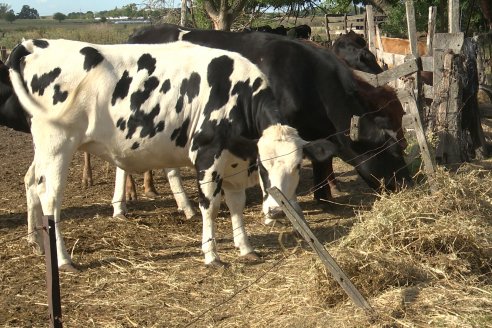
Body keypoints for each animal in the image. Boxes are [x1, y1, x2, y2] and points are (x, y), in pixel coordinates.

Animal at [4, 38, 334, 270]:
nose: (278, 211)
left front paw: (246, 248)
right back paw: (62, 260)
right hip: (58, 145)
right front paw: (212, 254)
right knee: (51, 198)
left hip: (44, 148)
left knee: (31, 182)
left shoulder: (233, 162)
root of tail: (37, 43)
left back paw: (35, 242)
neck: (236, 95)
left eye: (297, 165)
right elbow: (211, 207)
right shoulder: (207, 156)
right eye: (264, 166)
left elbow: (236, 205)